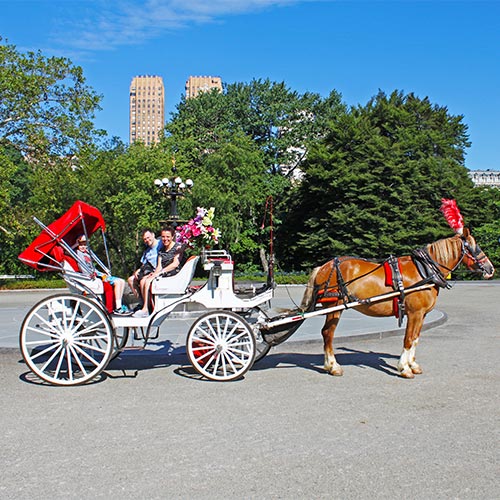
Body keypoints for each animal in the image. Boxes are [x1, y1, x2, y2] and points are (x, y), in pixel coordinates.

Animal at [298, 230, 494, 378]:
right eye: (474, 247)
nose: (491, 268)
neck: (425, 271)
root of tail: (324, 266)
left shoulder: (422, 315)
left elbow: (416, 338)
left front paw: (413, 364)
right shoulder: (414, 313)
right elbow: (408, 339)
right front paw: (404, 368)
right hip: (335, 306)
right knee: (328, 333)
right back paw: (333, 366)